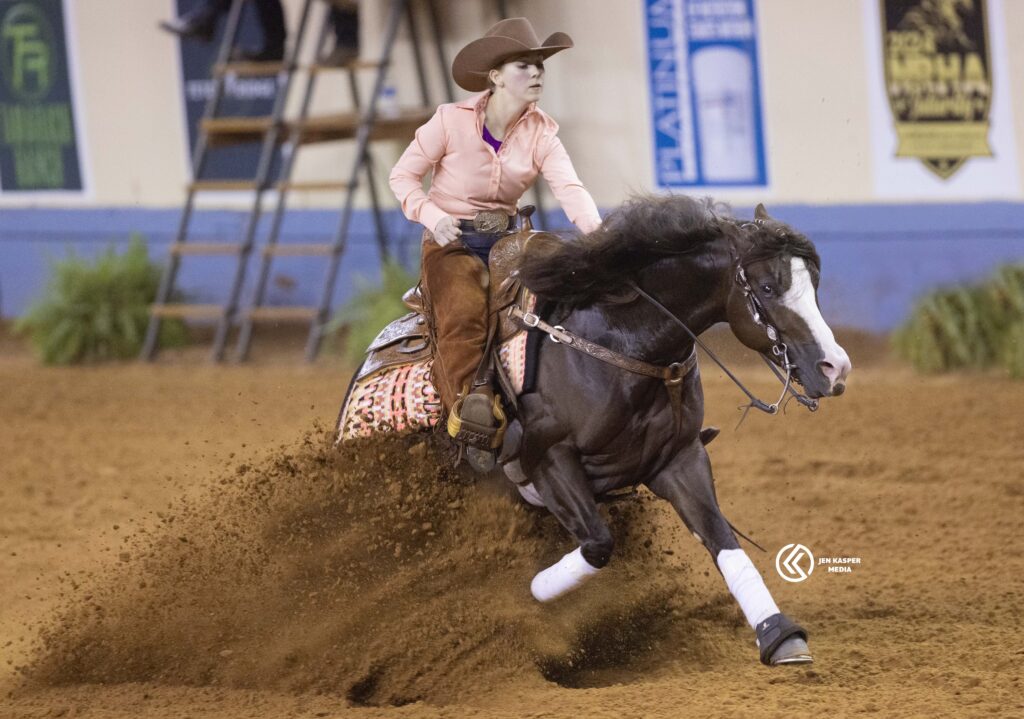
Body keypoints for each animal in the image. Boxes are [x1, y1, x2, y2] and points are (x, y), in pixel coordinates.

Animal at [501, 195, 847, 663]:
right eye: (767, 289)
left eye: (814, 285)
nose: (836, 368)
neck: (619, 344)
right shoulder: (548, 457)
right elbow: (598, 544)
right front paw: (533, 593)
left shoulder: (679, 459)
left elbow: (721, 537)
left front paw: (779, 634)